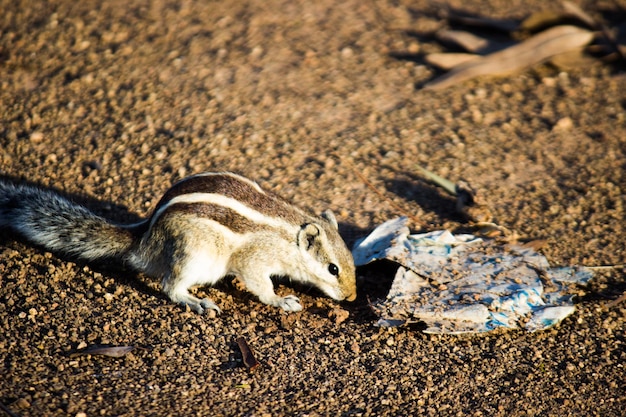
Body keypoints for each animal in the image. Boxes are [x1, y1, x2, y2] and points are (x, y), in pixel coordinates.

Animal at [0, 171, 356, 312]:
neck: (289, 233)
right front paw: (281, 300)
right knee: (169, 286)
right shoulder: (255, 259)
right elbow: (260, 284)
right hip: (193, 256)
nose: (351, 297)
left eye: (352, 261)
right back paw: (195, 301)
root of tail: (143, 239)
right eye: (333, 268)